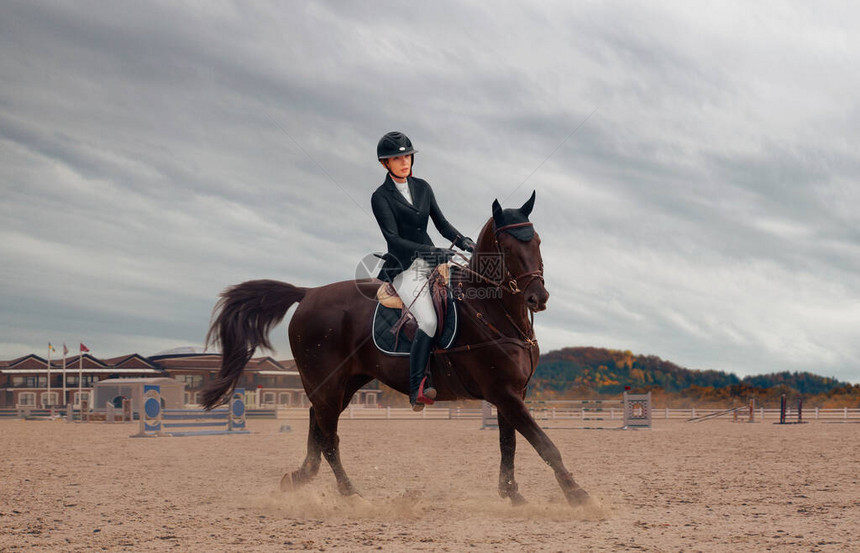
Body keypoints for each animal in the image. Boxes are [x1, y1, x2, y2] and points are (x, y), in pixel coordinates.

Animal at [202, 192, 592, 506]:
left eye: (537, 241)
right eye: (507, 247)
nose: (538, 297)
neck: (495, 311)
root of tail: (308, 293)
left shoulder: (512, 393)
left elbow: (508, 444)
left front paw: (513, 495)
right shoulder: (503, 392)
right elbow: (544, 444)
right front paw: (577, 494)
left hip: (343, 384)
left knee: (318, 425)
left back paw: (299, 479)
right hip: (326, 383)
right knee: (329, 438)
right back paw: (351, 495)